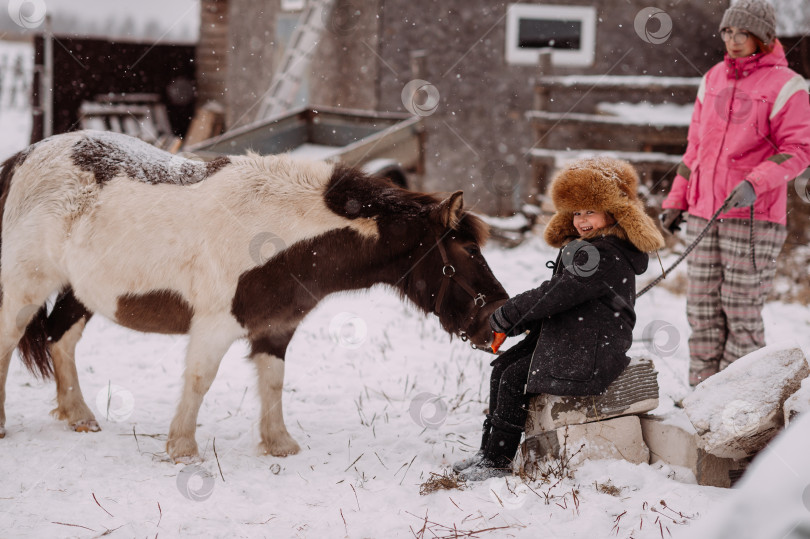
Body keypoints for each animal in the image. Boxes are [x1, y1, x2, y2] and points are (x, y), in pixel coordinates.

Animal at [0, 130, 504, 460]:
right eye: (468, 249)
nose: (496, 316)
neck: (284, 236)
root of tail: (23, 156)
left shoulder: (276, 328)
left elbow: (273, 381)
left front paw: (279, 444)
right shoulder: (214, 326)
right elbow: (199, 381)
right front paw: (182, 449)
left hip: (80, 291)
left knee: (60, 340)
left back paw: (79, 415)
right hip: (25, 287)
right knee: (9, 342)